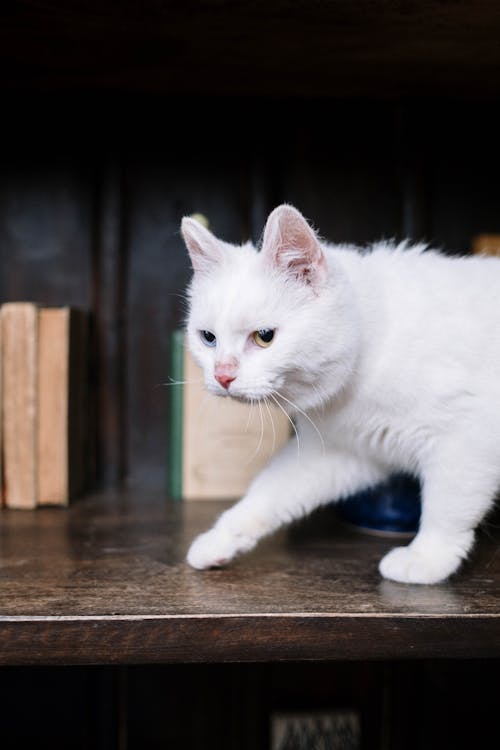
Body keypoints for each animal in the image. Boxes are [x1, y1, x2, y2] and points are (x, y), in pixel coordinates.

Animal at [181, 206, 500, 588]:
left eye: (264, 336)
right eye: (208, 338)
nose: (223, 375)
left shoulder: (467, 440)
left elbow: (446, 506)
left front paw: (427, 559)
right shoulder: (341, 451)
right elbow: (268, 493)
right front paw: (219, 539)